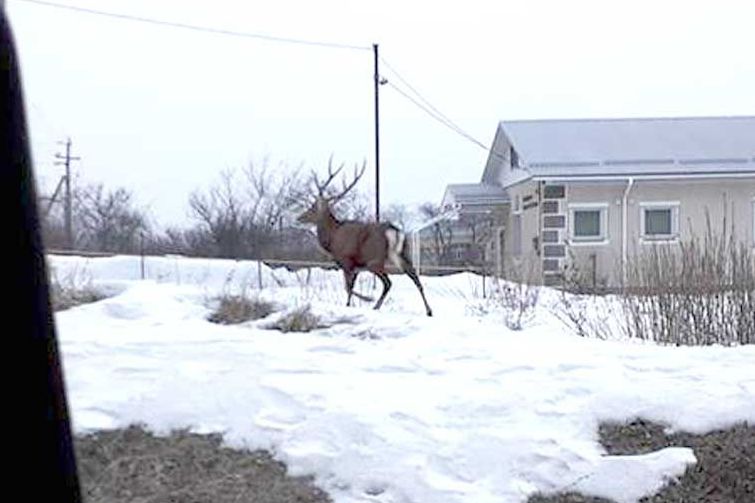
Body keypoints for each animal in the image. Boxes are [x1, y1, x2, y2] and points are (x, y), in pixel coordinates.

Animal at [296, 161, 433, 317]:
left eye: (313, 207)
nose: (299, 217)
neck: (332, 239)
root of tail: (393, 231)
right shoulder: (355, 268)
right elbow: (350, 287)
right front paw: (351, 304)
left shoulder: (346, 261)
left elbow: (348, 287)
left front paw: (362, 300)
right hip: (402, 254)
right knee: (414, 276)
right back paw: (429, 311)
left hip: (374, 260)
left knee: (388, 283)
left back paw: (375, 305)